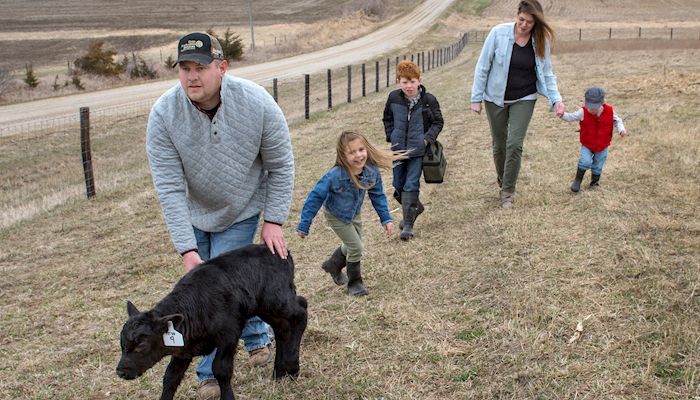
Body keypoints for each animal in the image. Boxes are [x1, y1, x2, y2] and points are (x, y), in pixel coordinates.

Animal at [116, 244, 308, 400]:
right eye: (122, 344)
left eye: (141, 345)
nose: (120, 371)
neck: (195, 307)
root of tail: (280, 252)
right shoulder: (182, 349)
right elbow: (170, 377)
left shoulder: (229, 334)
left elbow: (221, 369)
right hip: (265, 307)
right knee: (282, 328)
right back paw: (280, 373)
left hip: (276, 300)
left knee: (301, 311)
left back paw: (292, 366)